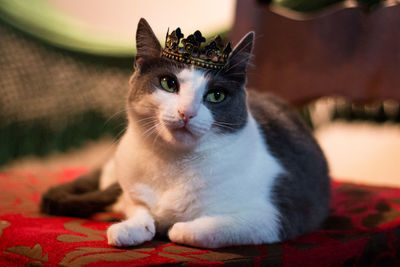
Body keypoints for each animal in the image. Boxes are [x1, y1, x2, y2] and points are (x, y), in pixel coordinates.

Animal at [40, 18, 330, 249]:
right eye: (169, 83)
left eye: (216, 95)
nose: (186, 112)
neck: (174, 163)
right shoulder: (129, 189)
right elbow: (138, 209)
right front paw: (128, 229)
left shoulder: (276, 213)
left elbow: (198, 229)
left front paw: (176, 227)